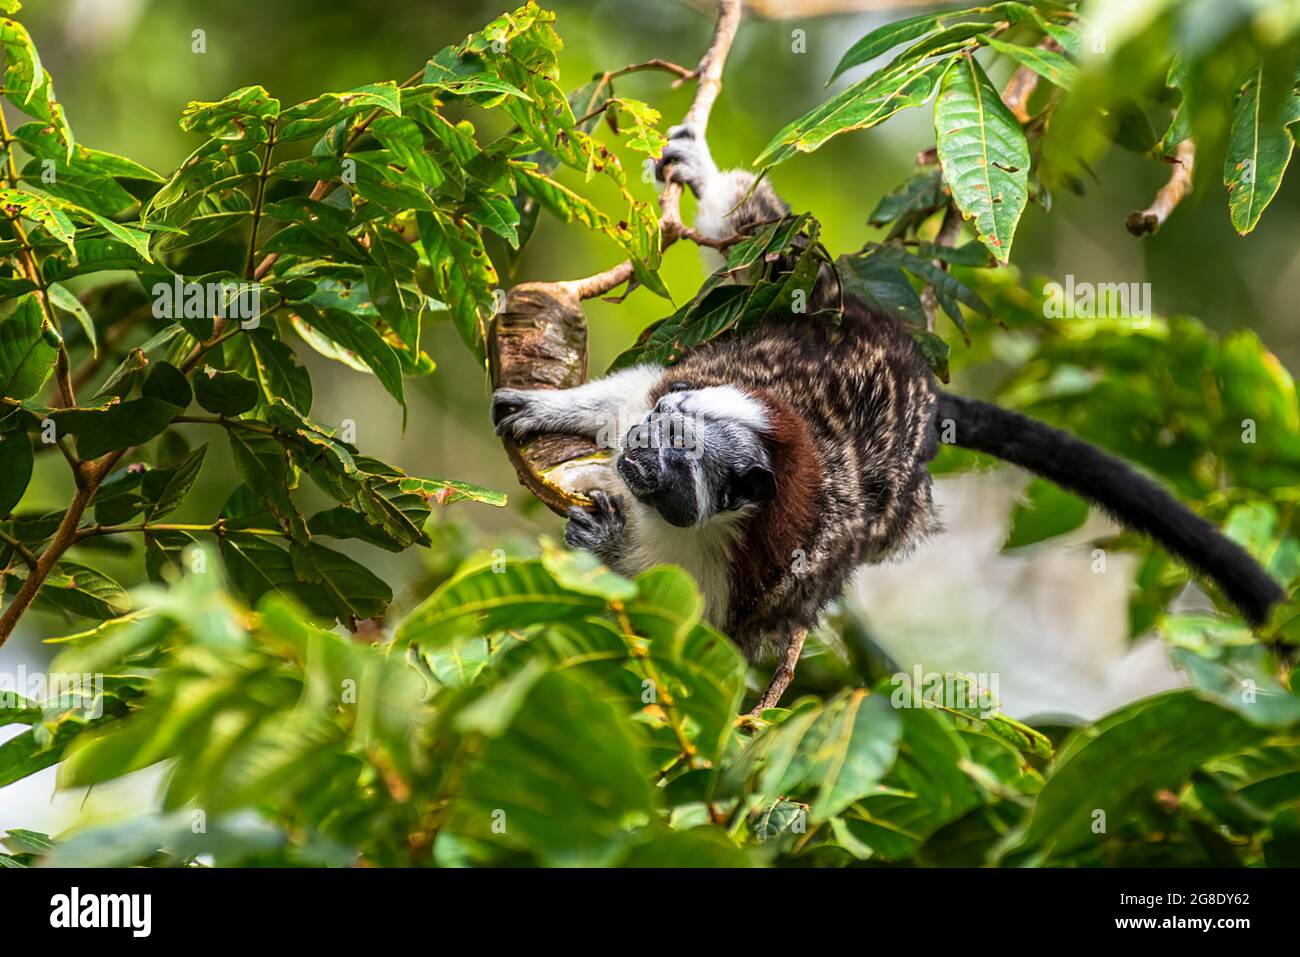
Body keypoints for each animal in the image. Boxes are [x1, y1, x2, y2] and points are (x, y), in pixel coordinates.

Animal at [488, 127, 1289, 712]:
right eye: (660, 429)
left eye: (682, 458)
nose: (640, 456)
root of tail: (926, 395)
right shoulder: (682, 385)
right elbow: (627, 392)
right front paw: (544, 409)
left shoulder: (755, 566)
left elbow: (702, 634)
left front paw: (601, 543)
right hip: (821, 308)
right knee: (775, 250)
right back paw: (709, 176)